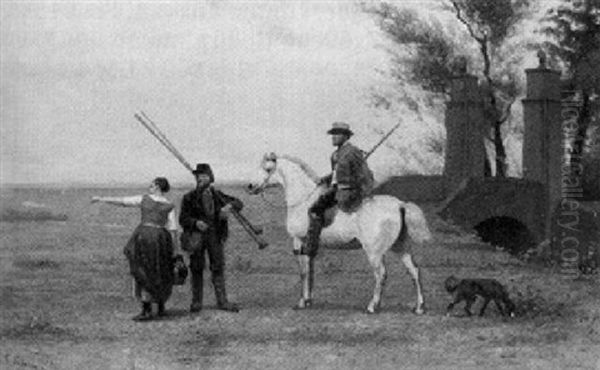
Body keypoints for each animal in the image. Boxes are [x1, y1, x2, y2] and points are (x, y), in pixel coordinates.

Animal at [248, 152, 432, 314]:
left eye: (268, 169)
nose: (250, 186)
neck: (304, 200)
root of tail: (400, 204)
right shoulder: (310, 246)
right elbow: (310, 271)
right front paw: (309, 300)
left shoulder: (298, 241)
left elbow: (303, 272)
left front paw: (302, 302)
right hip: (400, 247)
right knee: (414, 271)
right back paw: (419, 307)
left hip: (374, 252)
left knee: (381, 275)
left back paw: (372, 306)